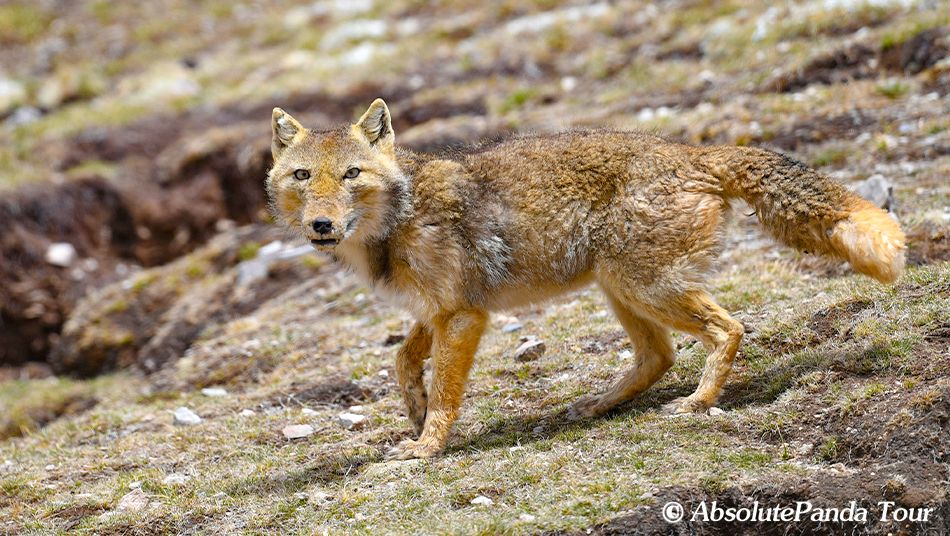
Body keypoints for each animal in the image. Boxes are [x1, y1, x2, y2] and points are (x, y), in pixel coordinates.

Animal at [266, 98, 906, 460]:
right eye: (302, 177)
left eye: (352, 174)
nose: (322, 224)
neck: (398, 216)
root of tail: (691, 151)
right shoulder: (437, 310)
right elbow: (401, 361)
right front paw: (414, 412)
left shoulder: (465, 315)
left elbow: (446, 391)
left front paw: (426, 447)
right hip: (620, 291)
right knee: (658, 356)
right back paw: (597, 406)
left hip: (647, 288)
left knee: (728, 329)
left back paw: (698, 403)